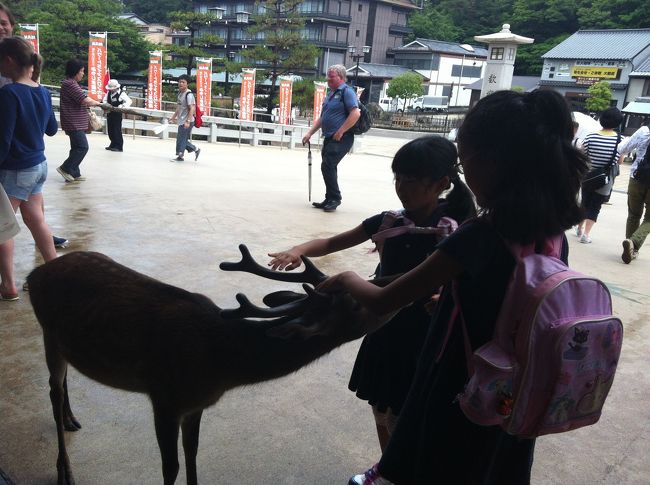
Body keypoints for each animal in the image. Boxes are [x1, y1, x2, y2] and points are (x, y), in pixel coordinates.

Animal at [27, 244, 395, 485]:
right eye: (356, 303)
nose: (387, 280)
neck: (219, 364)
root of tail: (35, 273)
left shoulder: (195, 405)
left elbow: (192, 452)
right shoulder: (164, 398)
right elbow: (170, 467)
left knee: (63, 381)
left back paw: (72, 419)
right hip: (46, 330)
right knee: (52, 389)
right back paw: (65, 470)